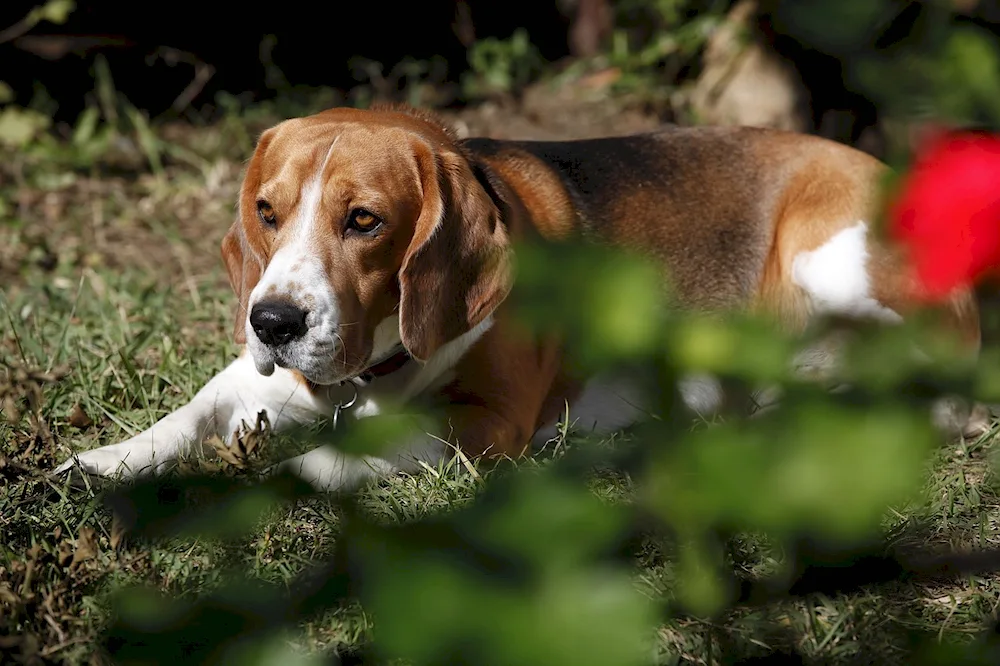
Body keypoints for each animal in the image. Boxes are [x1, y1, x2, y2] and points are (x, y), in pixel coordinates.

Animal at [54, 102, 984, 488]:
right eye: (266, 213)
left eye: (364, 221)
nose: (274, 321)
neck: (374, 369)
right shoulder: (256, 381)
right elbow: (185, 416)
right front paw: (95, 466)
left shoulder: (486, 425)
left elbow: (321, 463)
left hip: (830, 260)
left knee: (941, 395)